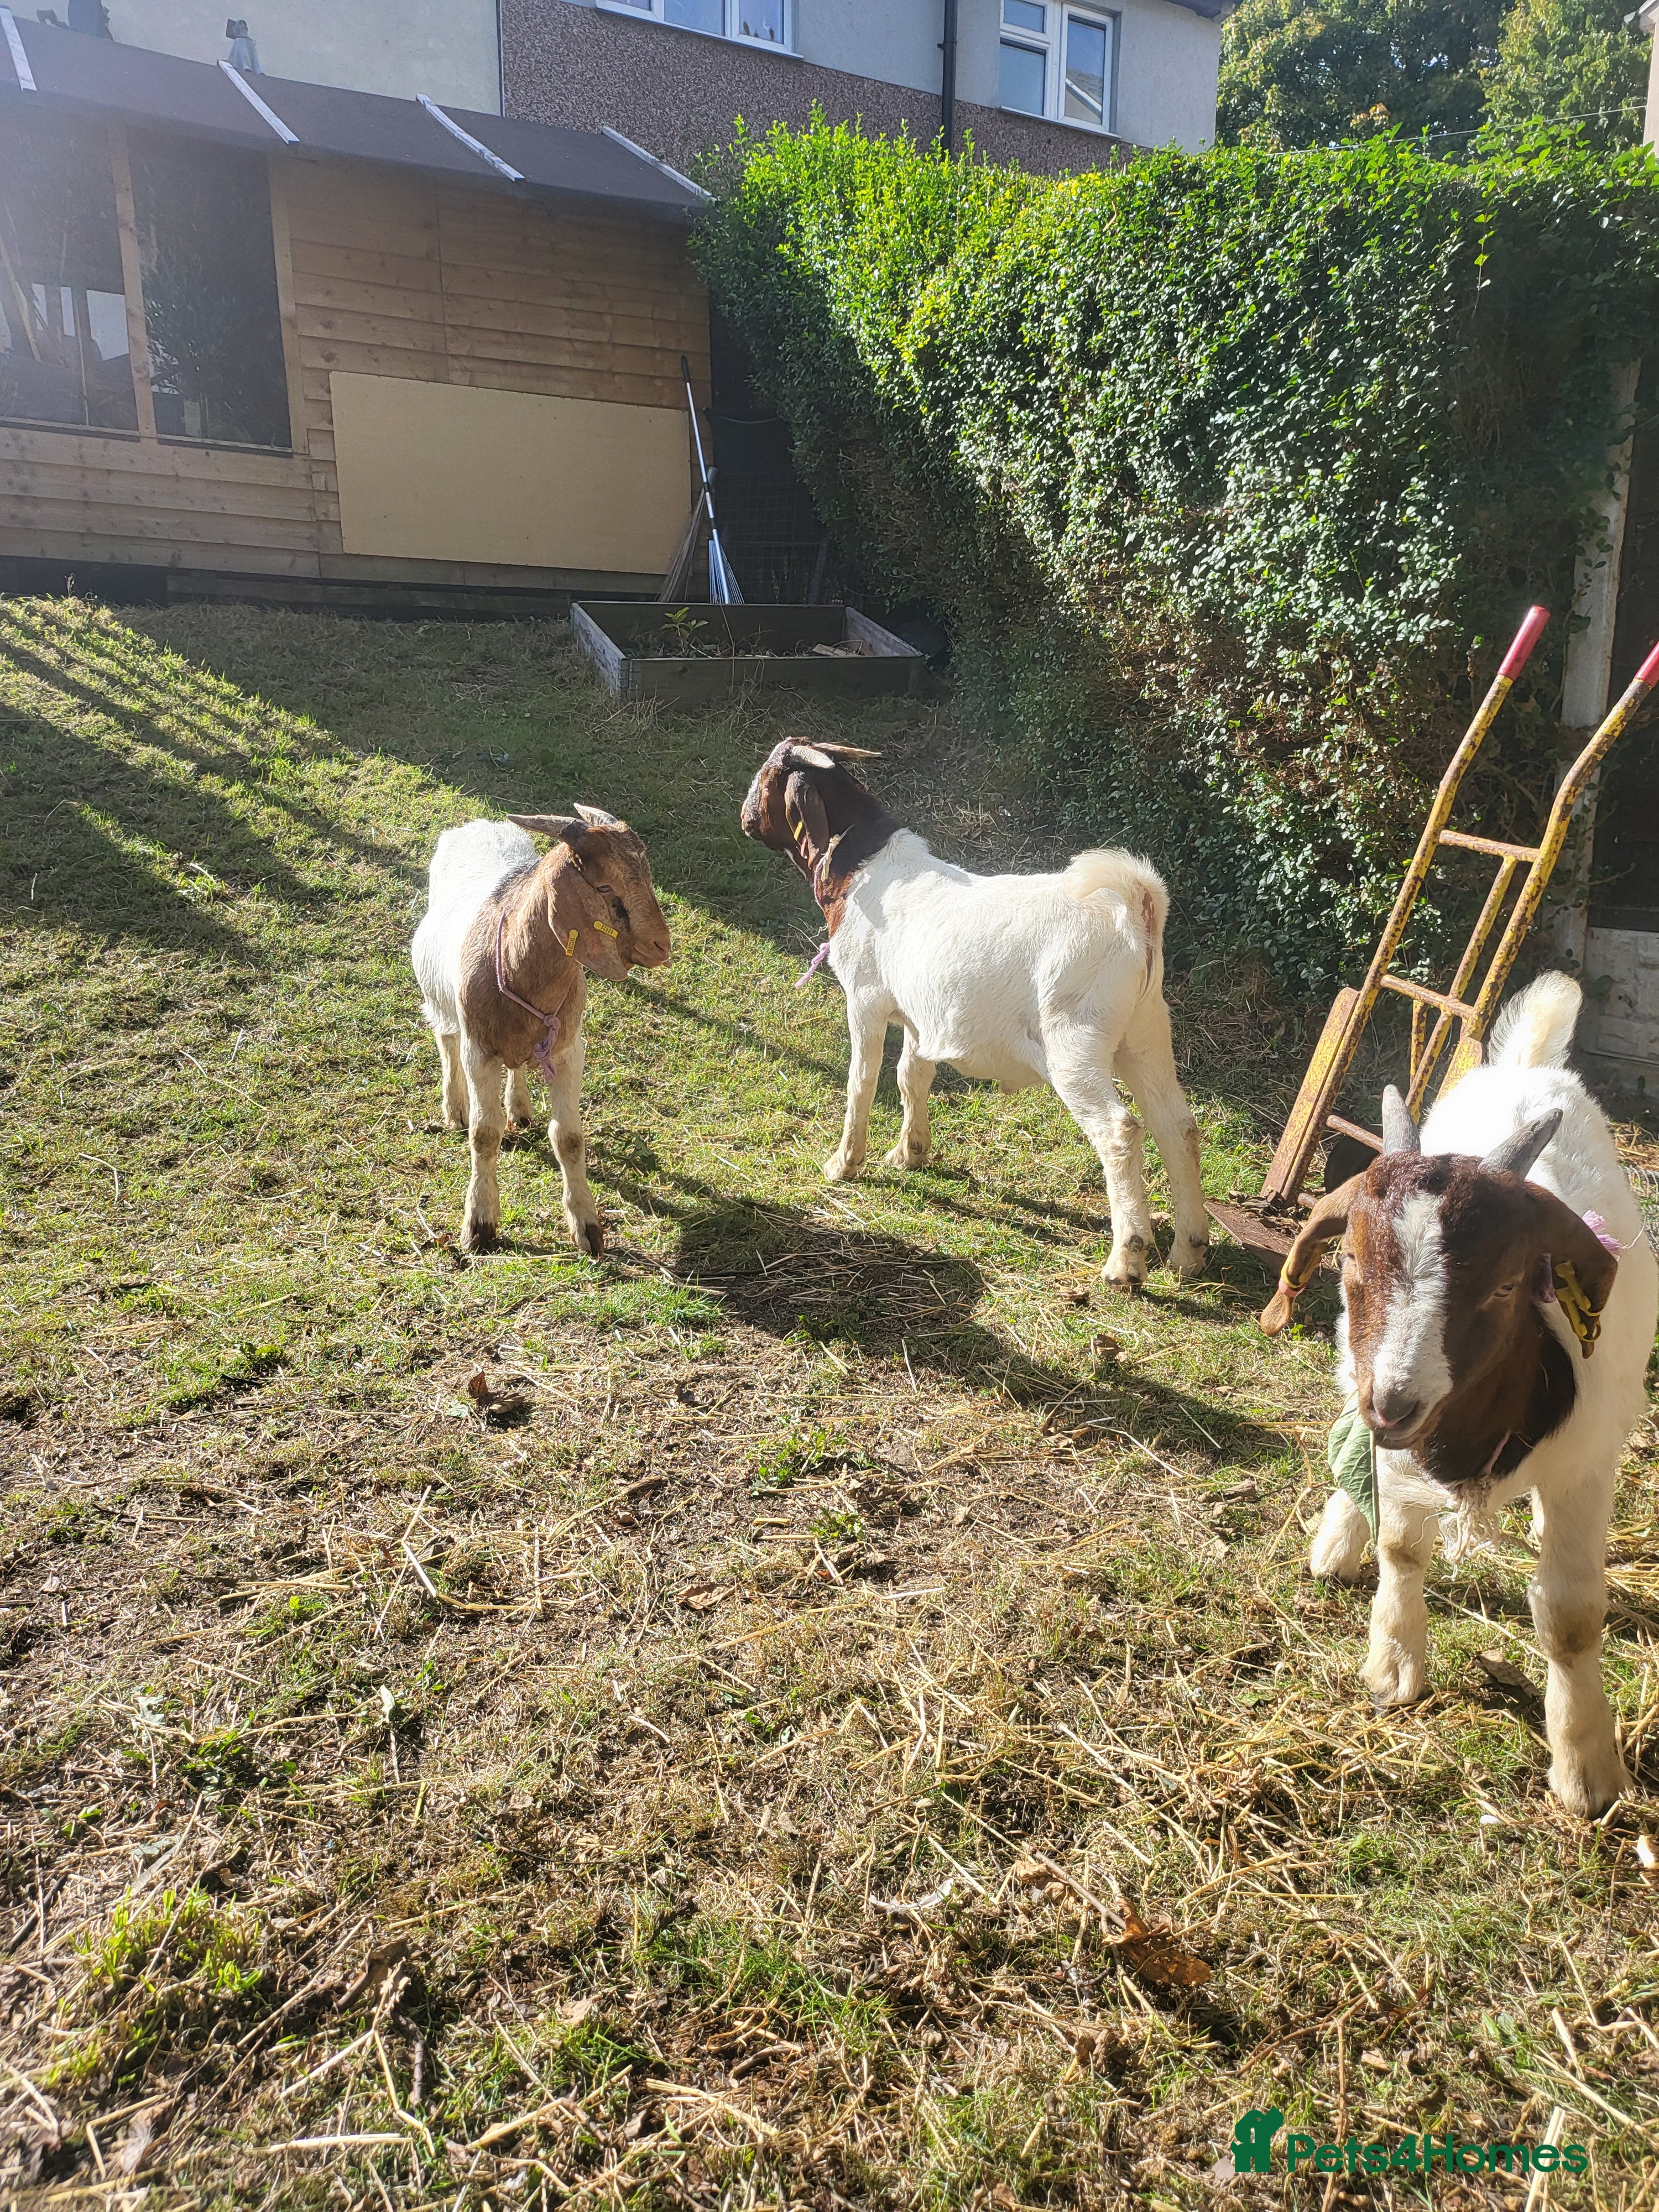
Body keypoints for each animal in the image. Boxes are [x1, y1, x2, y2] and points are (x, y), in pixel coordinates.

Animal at [411, 808, 670, 1254]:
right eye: (605, 885)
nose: (662, 946)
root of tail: (478, 825)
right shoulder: (479, 1051)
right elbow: (484, 1134)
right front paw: (479, 1225)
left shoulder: (568, 1051)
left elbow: (568, 1138)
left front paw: (587, 1227)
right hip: (439, 996)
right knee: (447, 1041)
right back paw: (455, 1107)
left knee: (517, 1066)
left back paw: (519, 1107)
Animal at [740, 739, 1209, 1287]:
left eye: (769, 774)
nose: (746, 817)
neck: (862, 869)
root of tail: (1135, 907)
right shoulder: (922, 1015)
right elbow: (911, 1076)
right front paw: (910, 1152)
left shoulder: (866, 1000)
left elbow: (863, 1081)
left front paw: (844, 1164)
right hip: (1145, 1032)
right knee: (1177, 1126)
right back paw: (1189, 1251)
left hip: (1075, 1042)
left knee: (1119, 1131)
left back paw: (1125, 1263)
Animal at [1261, 972, 1657, 1816]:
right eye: (1350, 1256)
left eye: (1509, 1282)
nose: (1394, 1405)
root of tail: (1530, 1065)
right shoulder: (1397, 1440)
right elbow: (1401, 1546)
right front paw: (1393, 1662)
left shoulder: (1582, 1467)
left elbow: (1571, 1617)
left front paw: (1586, 1768)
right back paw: (1337, 1537)